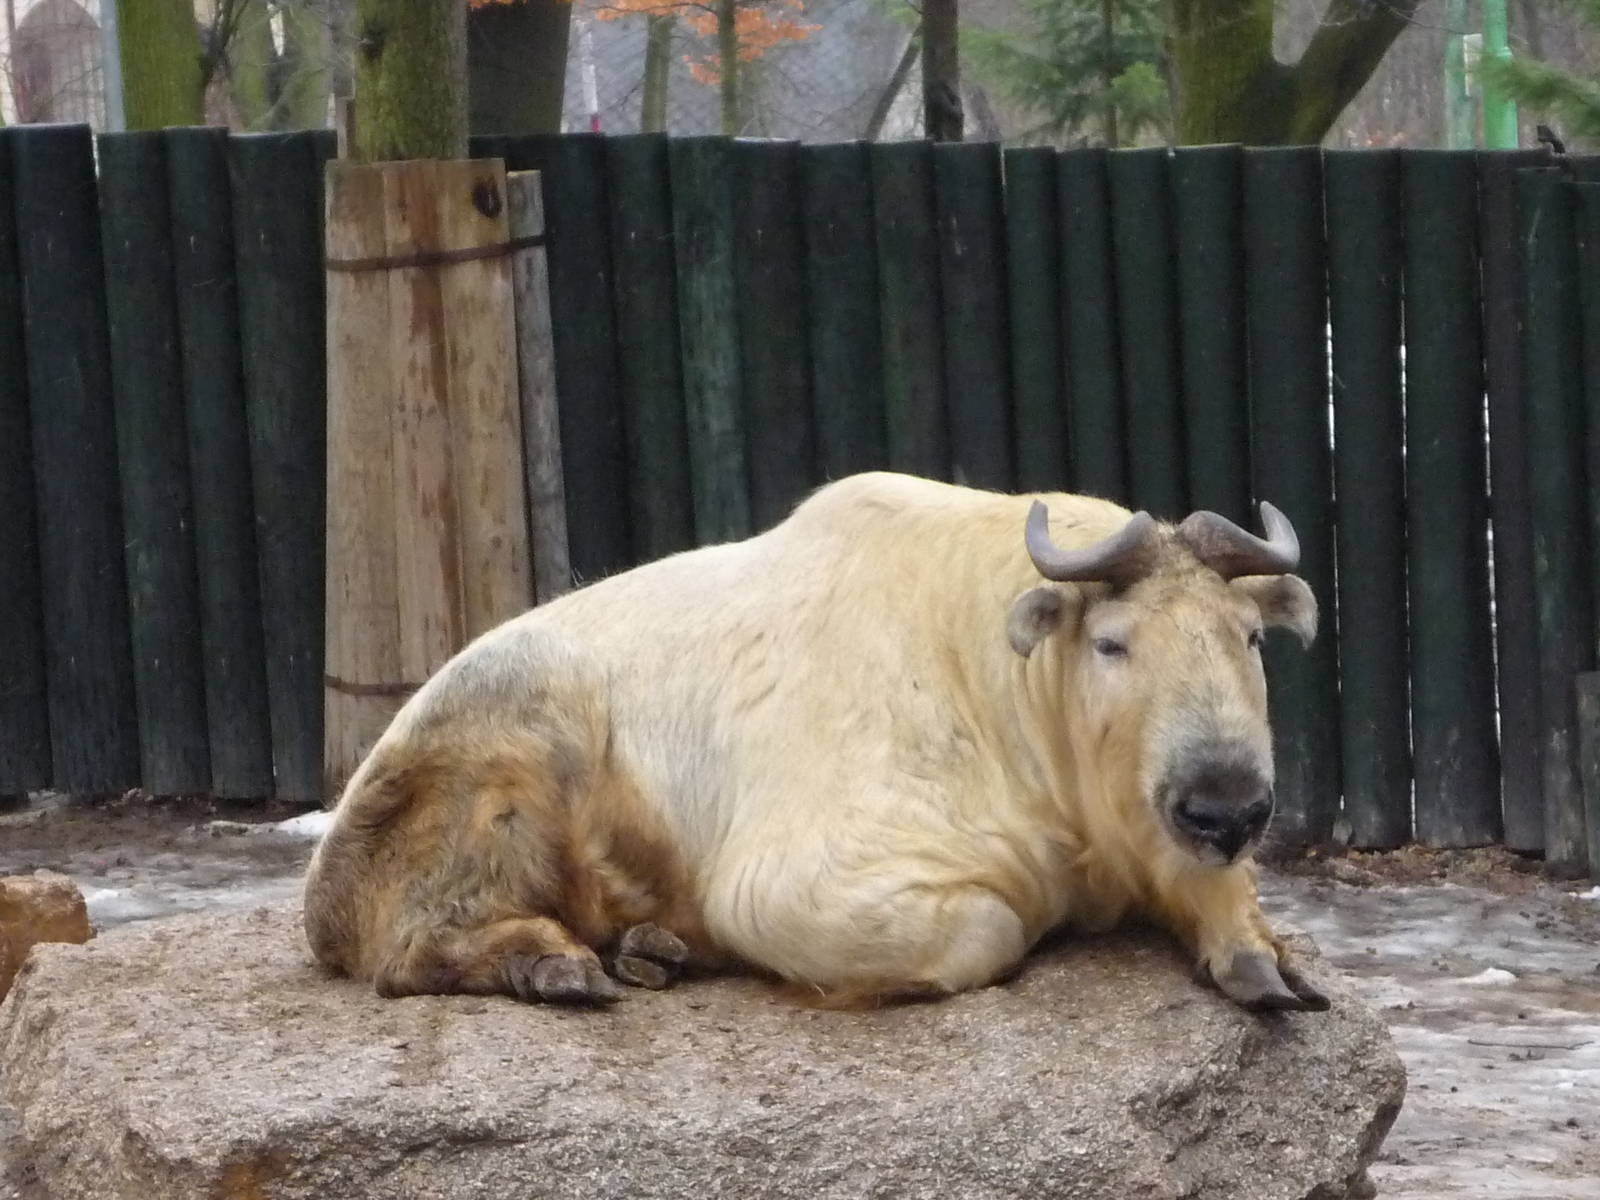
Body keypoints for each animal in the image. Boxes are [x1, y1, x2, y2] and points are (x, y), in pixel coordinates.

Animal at [302, 471, 1328, 1013]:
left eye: (1247, 637)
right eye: (1114, 643)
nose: (1226, 807)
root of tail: (322, 896)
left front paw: (1263, 955)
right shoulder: (809, 873)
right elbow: (986, 925)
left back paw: (646, 946)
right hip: (516, 736)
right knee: (409, 946)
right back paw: (559, 962)